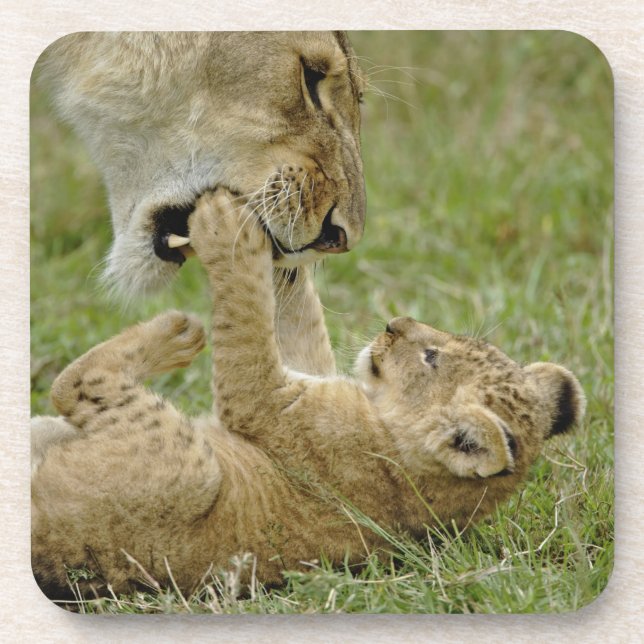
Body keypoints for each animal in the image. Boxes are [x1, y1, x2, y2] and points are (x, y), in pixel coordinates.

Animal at [31, 191, 585, 599]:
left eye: (430, 357)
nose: (394, 323)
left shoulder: (268, 402)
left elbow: (247, 324)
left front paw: (224, 224)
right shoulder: (311, 375)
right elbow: (298, 318)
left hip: (188, 470)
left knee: (73, 385)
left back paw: (176, 332)